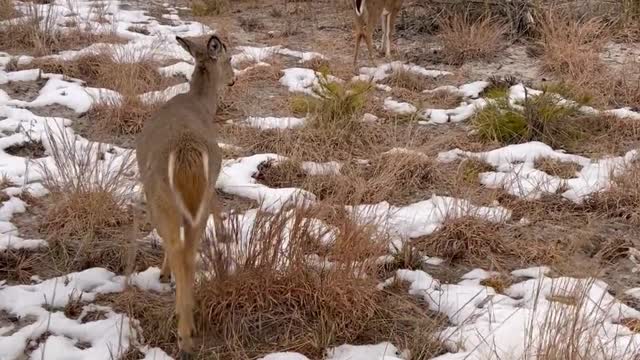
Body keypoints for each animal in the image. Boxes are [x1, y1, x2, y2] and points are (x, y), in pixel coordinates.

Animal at [135, 33, 235, 358]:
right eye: (230, 58)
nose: (234, 79)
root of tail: (186, 150)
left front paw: (163, 274)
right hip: (194, 200)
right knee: (189, 253)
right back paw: (189, 326)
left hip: (160, 198)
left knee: (178, 249)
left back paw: (184, 332)